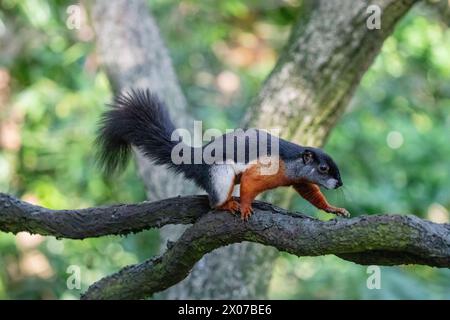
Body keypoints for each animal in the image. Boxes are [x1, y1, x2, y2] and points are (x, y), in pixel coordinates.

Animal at [95, 89, 350, 220]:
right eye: (323, 168)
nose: (339, 183)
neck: (292, 161)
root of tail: (196, 162)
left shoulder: (299, 180)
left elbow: (310, 192)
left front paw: (333, 209)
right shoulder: (265, 168)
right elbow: (250, 184)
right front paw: (246, 206)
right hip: (221, 173)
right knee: (213, 203)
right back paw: (228, 205)